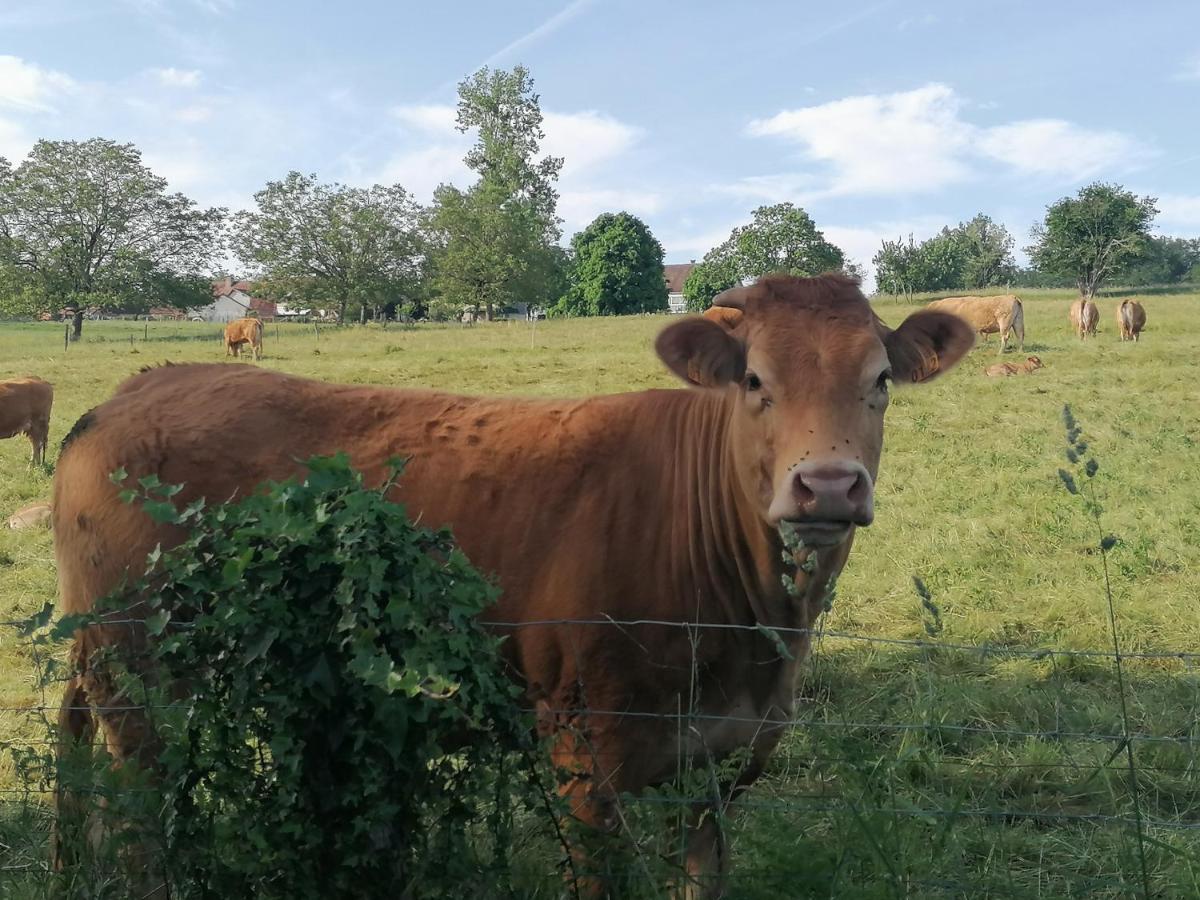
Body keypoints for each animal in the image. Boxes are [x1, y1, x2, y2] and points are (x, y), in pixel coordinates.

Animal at [51, 277, 979, 900]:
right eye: (755, 381)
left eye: (881, 380)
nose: (827, 486)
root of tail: (135, 389)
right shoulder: (586, 758)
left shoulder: (723, 765)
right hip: (140, 671)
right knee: (136, 818)